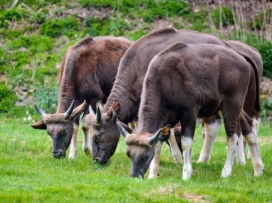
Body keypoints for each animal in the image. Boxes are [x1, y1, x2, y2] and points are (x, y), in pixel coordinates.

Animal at [82, 27, 231, 176]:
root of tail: (222, 43)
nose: (96, 159)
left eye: (97, 136)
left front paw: (176, 157)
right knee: (214, 123)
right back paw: (204, 159)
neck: (136, 69)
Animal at [117, 42, 264, 179]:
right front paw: (152, 175)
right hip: (235, 108)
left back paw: (226, 172)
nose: (134, 175)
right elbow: (158, 143)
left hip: (231, 105)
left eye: (145, 156)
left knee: (232, 137)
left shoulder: (189, 114)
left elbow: (186, 142)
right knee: (248, 128)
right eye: (129, 154)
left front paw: (186, 173)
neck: (166, 82)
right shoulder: (165, 119)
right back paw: (258, 168)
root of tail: (241, 57)